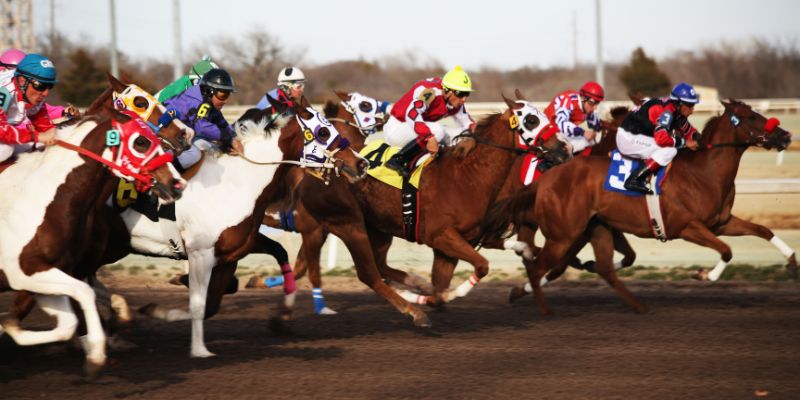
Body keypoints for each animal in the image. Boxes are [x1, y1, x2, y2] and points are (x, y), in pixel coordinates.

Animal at [0, 109, 184, 376]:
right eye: (141, 142)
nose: (178, 183)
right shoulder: (23, 273)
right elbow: (84, 294)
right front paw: (96, 350)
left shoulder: (47, 276)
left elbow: (68, 321)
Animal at [290, 92, 576, 326]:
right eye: (531, 120)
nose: (566, 148)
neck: (468, 177)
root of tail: (315, 171)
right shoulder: (441, 236)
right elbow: (481, 266)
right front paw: (447, 296)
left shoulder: (454, 243)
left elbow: (445, 281)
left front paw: (435, 296)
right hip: (349, 226)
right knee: (369, 274)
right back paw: (414, 309)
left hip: (378, 229)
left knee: (380, 267)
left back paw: (414, 287)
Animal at [482, 98, 792, 314]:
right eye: (752, 117)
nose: (786, 136)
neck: (703, 173)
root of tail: (548, 178)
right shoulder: (687, 227)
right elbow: (726, 250)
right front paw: (705, 274)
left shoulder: (720, 222)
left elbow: (762, 231)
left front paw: (792, 261)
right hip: (563, 230)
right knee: (540, 262)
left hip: (585, 226)